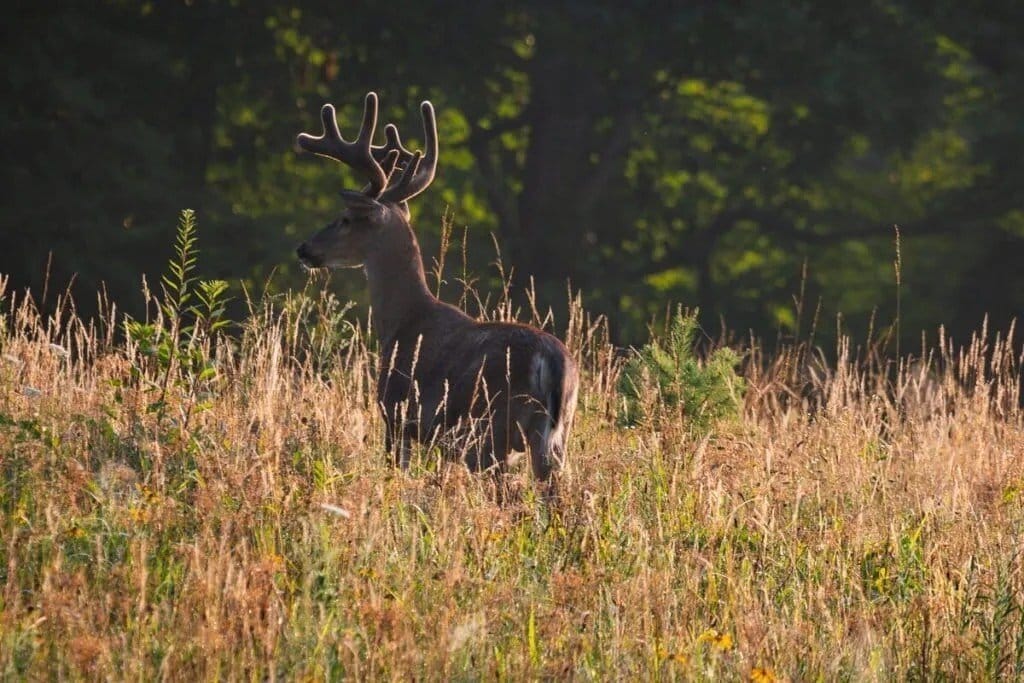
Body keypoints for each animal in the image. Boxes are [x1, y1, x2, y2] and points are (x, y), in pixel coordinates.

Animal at [294, 92, 578, 487]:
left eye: (346, 219)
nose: (304, 248)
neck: (402, 321)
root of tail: (552, 362)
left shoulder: (396, 416)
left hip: (488, 431)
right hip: (554, 436)